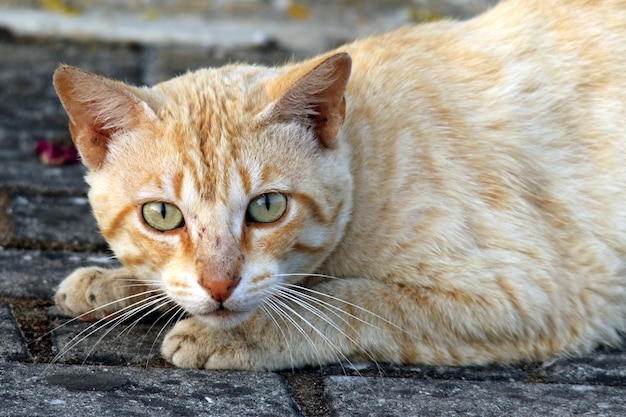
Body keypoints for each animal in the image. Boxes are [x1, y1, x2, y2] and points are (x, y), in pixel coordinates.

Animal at [52, 0, 624, 370]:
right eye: (162, 215)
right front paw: (113, 284)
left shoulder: (525, 293)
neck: (366, 154)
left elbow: (344, 299)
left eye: (267, 208)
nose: (219, 286)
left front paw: (234, 334)